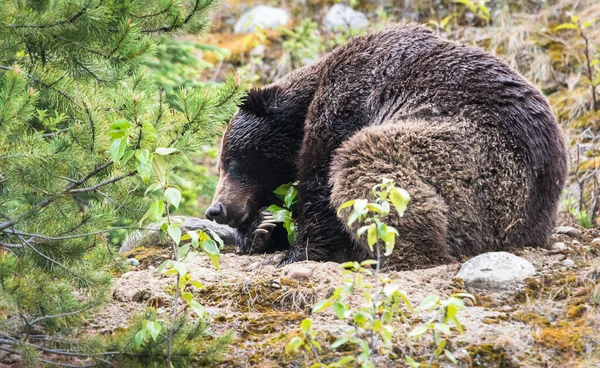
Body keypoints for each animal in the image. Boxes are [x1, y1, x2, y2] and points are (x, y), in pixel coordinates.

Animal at [205, 23, 568, 270]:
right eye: (221, 165)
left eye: (232, 162)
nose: (216, 209)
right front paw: (262, 231)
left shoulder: (347, 100)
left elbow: (321, 180)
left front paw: (293, 252)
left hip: (478, 163)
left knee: (366, 164)